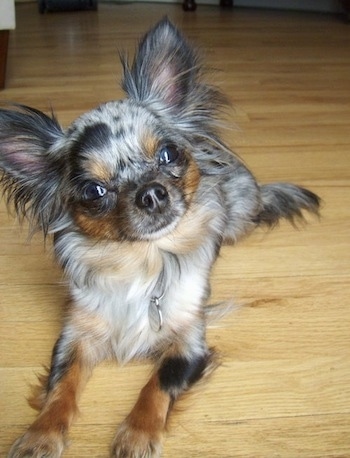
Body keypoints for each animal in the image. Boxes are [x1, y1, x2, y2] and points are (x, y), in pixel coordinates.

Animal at [0, 18, 320, 458]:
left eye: (168, 154)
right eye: (94, 192)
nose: (150, 193)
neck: (144, 260)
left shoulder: (189, 341)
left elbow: (158, 384)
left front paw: (137, 434)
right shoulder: (77, 334)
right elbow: (61, 386)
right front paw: (41, 434)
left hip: (239, 216)